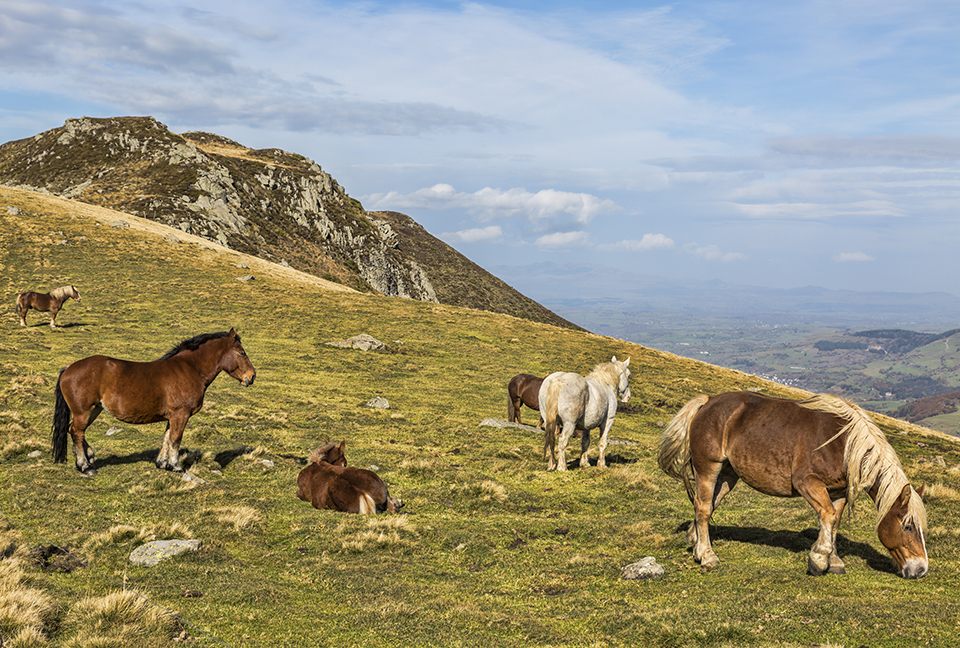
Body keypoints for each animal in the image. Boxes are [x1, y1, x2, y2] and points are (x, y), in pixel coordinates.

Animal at [51, 330, 255, 476]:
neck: (190, 369)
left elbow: (166, 438)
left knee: (74, 431)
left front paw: (162, 464)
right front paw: (175, 466)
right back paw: (85, 466)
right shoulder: (181, 415)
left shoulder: (173, 416)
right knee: (76, 432)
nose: (252, 376)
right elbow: (175, 439)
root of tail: (69, 368)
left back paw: (89, 458)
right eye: (241, 352)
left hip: (94, 410)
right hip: (84, 411)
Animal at [656, 392, 928, 580]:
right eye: (908, 526)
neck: (843, 443)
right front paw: (819, 560)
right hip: (708, 468)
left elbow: (834, 522)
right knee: (703, 509)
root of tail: (708, 401)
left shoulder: (838, 491)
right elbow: (827, 515)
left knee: (707, 505)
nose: (921, 569)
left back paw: (696, 544)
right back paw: (707, 556)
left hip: (727, 475)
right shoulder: (807, 482)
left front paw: (834, 561)